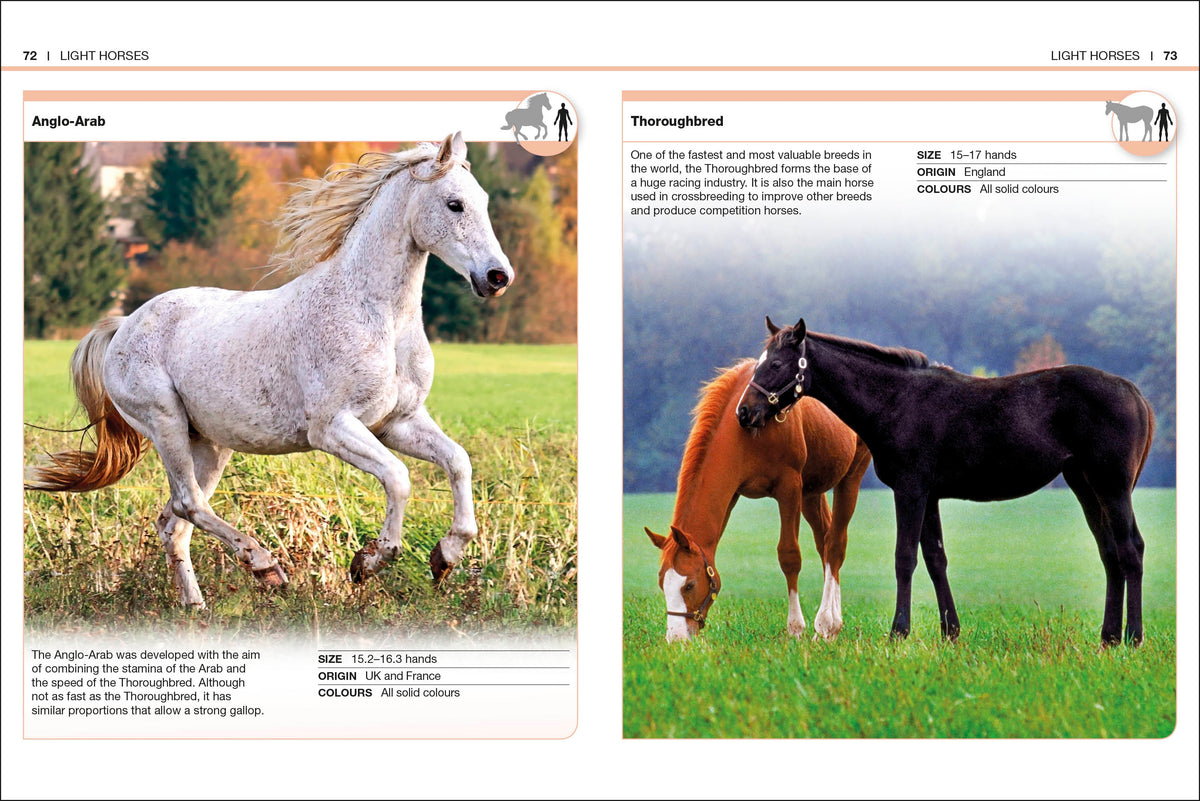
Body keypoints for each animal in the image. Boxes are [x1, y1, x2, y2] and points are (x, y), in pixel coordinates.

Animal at [24, 133, 515, 609]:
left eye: (484, 200)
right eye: (454, 204)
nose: (497, 277)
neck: (379, 318)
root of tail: (124, 325)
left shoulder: (399, 422)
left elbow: (458, 462)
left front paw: (445, 557)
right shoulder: (333, 428)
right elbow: (398, 477)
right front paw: (369, 563)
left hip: (208, 444)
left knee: (173, 522)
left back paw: (196, 607)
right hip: (165, 424)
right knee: (188, 505)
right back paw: (266, 567)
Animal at [644, 360, 872, 643]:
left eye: (689, 585)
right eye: (662, 583)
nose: (676, 638)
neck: (746, 431)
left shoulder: (789, 488)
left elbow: (789, 556)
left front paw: (795, 629)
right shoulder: (732, 494)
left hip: (850, 477)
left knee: (836, 545)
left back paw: (828, 622)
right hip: (811, 492)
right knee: (825, 542)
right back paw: (827, 629)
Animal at [737, 318, 1155, 646]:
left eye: (776, 364)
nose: (744, 412)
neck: (895, 401)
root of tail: (1136, 394)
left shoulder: (910, 490)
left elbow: (905, 558)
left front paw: (899, 632)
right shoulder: (930, 495)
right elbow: (936, 558)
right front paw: (950, 632)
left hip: (1112, 487)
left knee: (1131, 549)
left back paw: (1133, 637)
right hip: (1087, 486)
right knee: (1110, 553)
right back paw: (1108, 637)